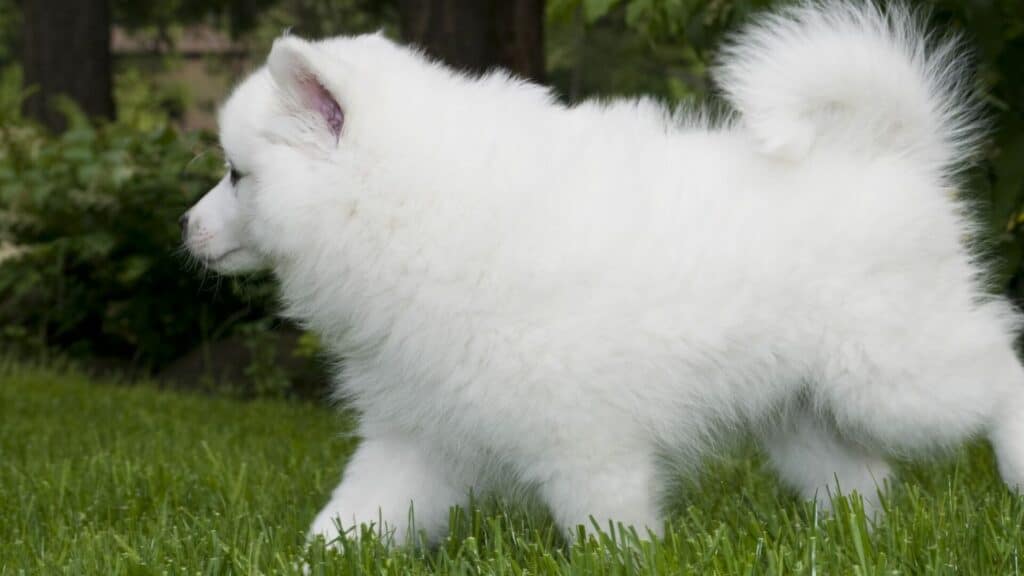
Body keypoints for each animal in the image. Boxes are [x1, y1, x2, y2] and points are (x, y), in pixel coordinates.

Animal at [184, 2, 1024, 545]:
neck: (414, 210)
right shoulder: (418, 436)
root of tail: (890, 150)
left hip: (891, 373)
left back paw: (1014, 468)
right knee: (862, 482)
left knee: (999, 370)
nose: (187, 227)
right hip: (802, 410)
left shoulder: (587, 442)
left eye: (236, 175)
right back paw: (857, 542)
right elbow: (349, 522)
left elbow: (608, 533)